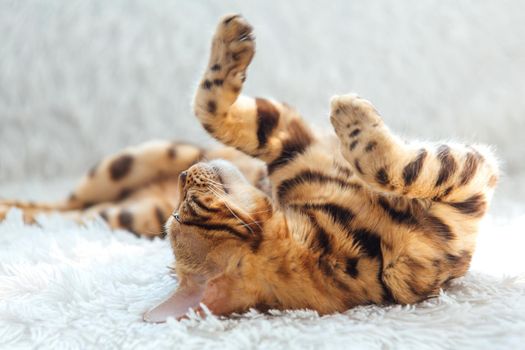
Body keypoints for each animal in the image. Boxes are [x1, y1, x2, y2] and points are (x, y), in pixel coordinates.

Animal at [0, 14, 498, 322]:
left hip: (127, 178)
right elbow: (405, 166)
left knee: (62, 206)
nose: (185, 177)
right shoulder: (461, 205)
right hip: (117, 198)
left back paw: (15, 210)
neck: (320, 237)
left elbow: (213, 108)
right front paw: (350, 113)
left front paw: (230, 43)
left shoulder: (291, 144)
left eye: (181, 211)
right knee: (61, 208)